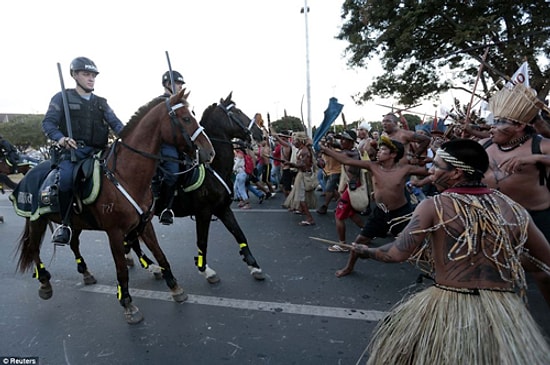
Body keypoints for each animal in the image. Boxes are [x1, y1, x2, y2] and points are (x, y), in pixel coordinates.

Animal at [12, 89, 216, 322]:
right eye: (186, 119)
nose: (210, 152)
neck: (125, 175)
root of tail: (29, 171)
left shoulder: (145, 224)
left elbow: (160, 254)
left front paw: (175, 287)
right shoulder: (115, 232)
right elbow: (121, 270)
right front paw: (127, 303)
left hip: (75, 222)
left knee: (73, 244)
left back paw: (85, 273)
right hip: (36, 220)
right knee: (34, 248)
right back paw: (45, 282)